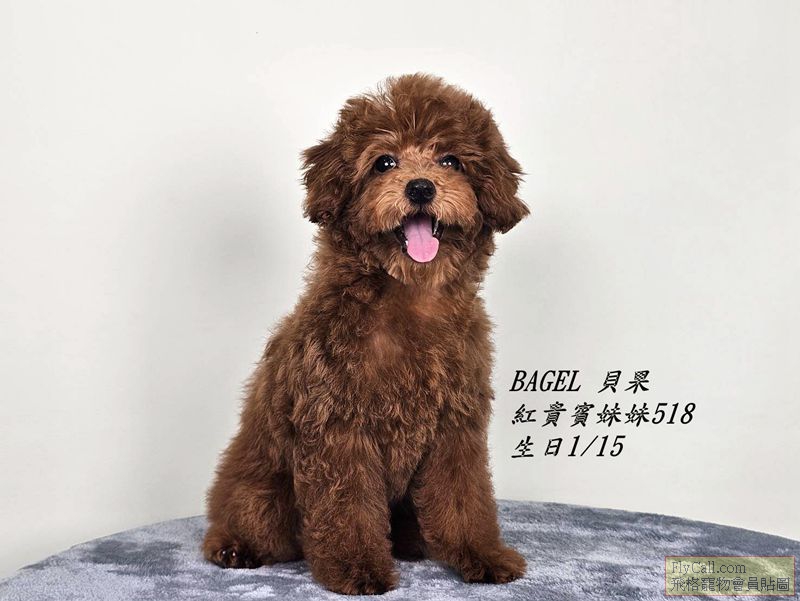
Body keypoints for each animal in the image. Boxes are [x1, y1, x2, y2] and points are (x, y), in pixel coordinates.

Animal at [203, 73, 529, 595]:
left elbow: (464, 498)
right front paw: (357, 567)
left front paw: (480, 554)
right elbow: (347, 507)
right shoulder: (338, 426)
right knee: (245, 519)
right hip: (262, 492)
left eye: (451, 160)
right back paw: (234, 547)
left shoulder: (456, 427)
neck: (412, 299)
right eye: (384, 162)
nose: (421, 187)